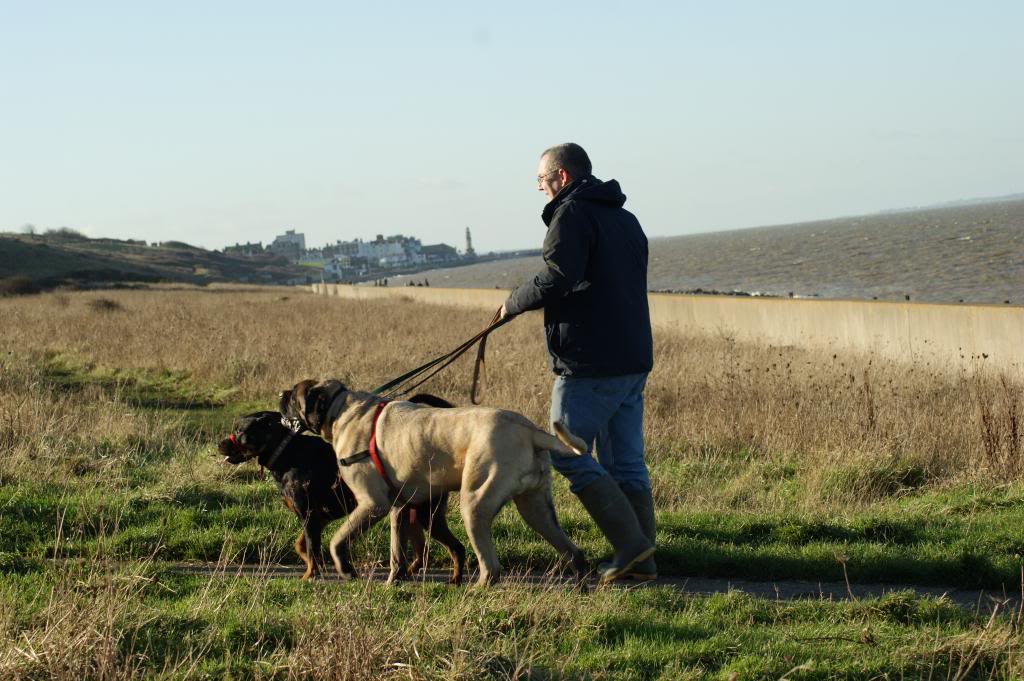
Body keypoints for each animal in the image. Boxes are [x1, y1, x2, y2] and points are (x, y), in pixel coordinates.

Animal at [222, 395, 468, 581]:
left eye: (240, 431)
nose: (219, 444)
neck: (285, 451)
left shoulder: (309, 515)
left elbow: (311, 548)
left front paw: (309, 576)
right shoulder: (318, 518)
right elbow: (302, 545)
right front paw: (316, 568)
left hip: (428, 516)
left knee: (456, 548)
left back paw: (454, 580)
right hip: (414, 513)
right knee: (422, 550)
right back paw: (408, 573)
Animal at [278, 376, 593, 585]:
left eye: (294, 398)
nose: (281, 393)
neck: (341, 409)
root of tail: (529, 431)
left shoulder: (372, 504)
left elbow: (338, 539)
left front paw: (345, 568)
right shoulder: (399, 507)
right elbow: (397, 551)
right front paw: (395, 580)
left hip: (475, 504)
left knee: (491, 566)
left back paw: (477, 589)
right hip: (536, 509)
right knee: (571, 551)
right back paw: (581, 584)